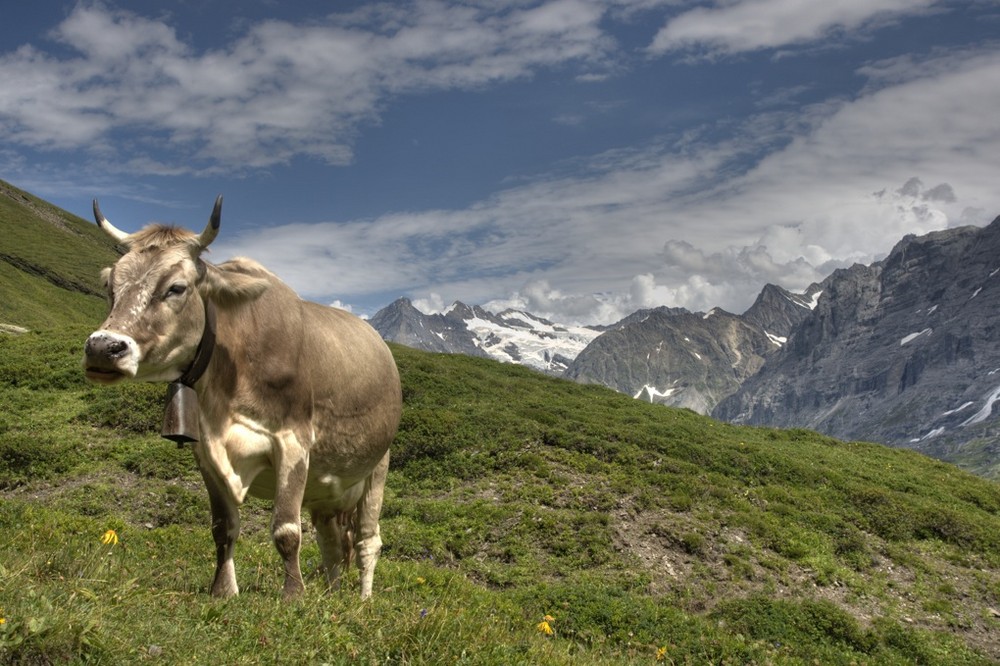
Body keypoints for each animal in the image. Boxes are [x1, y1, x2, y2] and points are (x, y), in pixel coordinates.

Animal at [83, 196, 402, 596]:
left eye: (176, 288)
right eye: (111, 285)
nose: (102, 348)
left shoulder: (294, 441)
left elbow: (286, 531)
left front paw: (293, 596)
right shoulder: (206, 452)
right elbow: (223, 528)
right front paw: (223, 590)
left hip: (377, 467)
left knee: (366, 540)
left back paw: (362, 599)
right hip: (327, 491)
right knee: (331, 542)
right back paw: (329, 597)